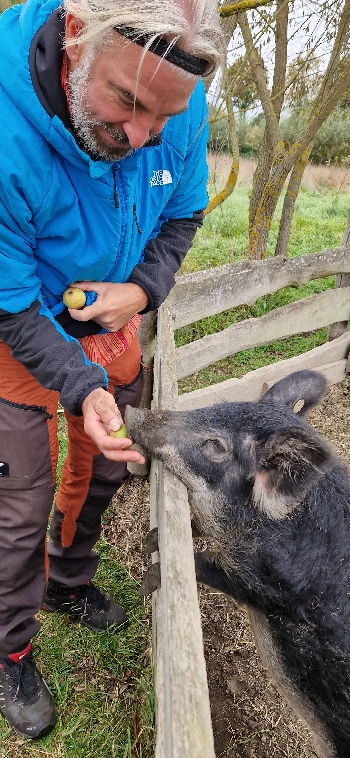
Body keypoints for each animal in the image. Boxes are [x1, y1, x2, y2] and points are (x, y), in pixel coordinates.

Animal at [127, 372, 350, 758]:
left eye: (215, 445)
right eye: (217, 406)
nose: (131, 412)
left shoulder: (260, 585)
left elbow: (202, 565)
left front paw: (148, 579)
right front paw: (150, 541)